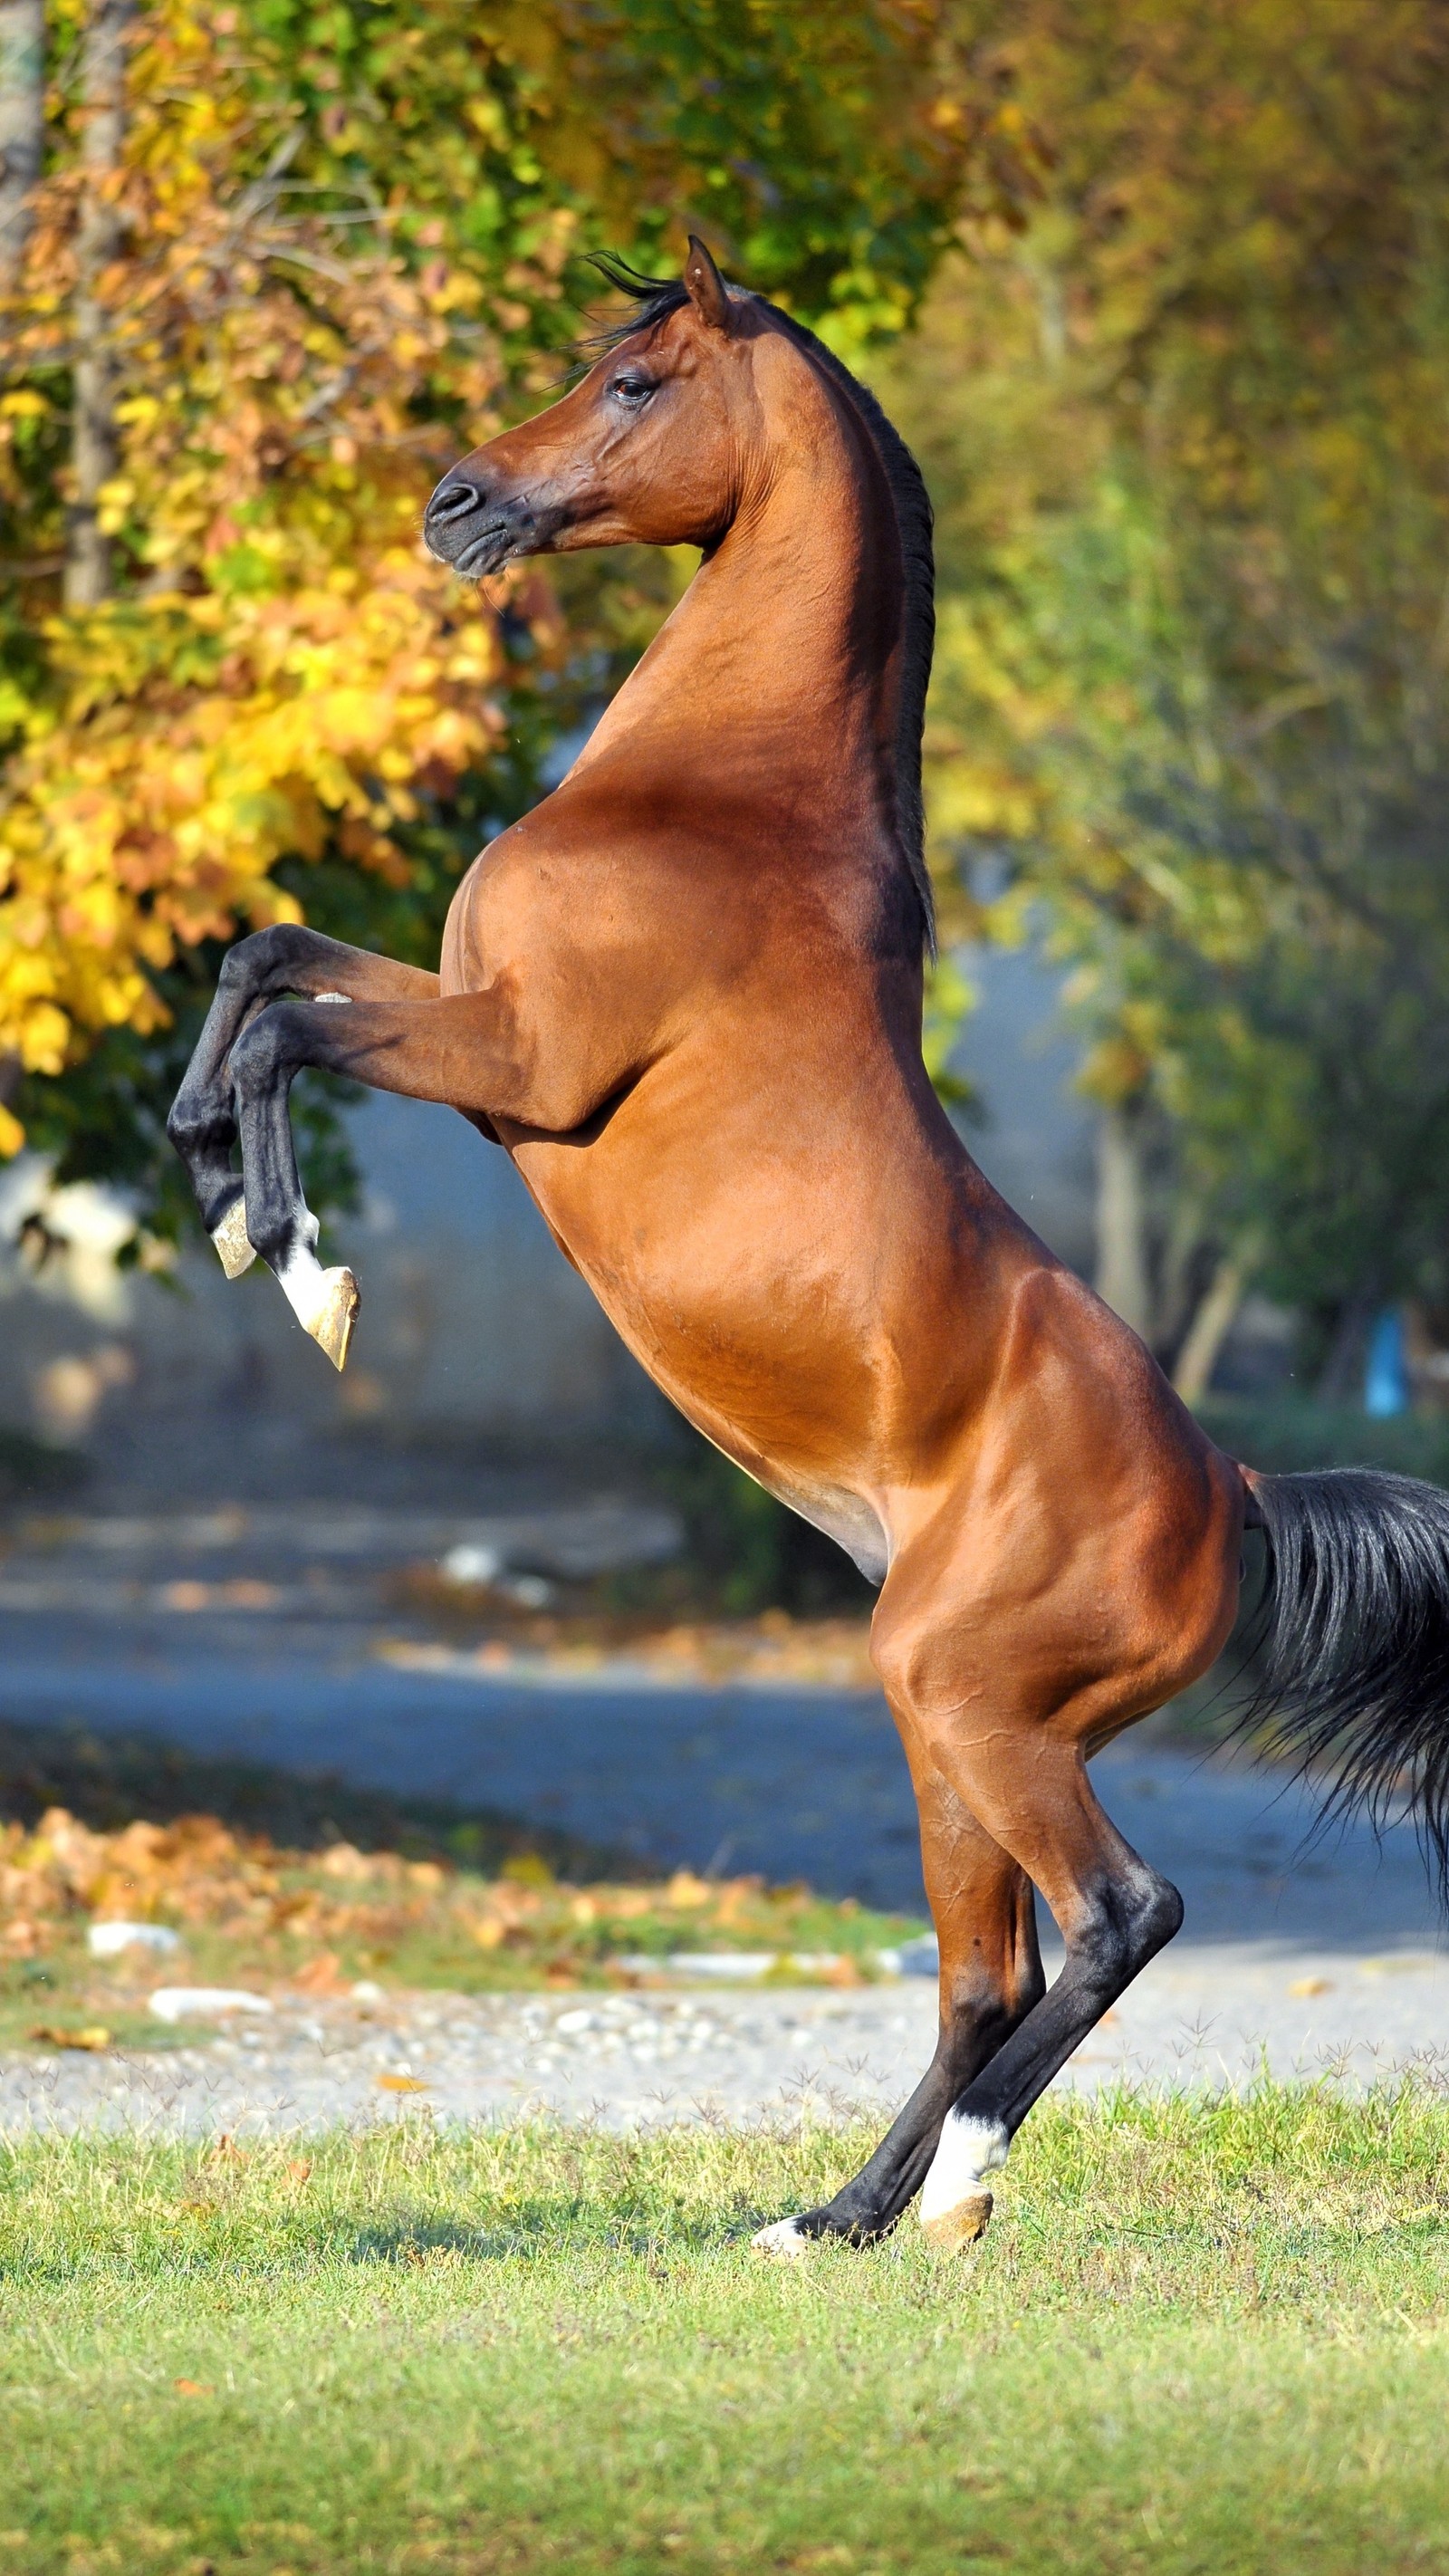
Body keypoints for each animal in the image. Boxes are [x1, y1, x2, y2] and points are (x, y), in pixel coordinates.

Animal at [172, 242, 1449, 2256]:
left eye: (635, 379)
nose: (455, 505)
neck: (723, 798)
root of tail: (1232, 1494)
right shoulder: (458, 1013)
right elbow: (264, 959)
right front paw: (211, 1174)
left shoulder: (513, 1059)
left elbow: (289, 1011)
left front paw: (306, 1275)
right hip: (944, 1728)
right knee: (986, 1975)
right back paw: (834, 2218)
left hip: (972, 1709)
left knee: (1118, 1916)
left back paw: (955, 2191)